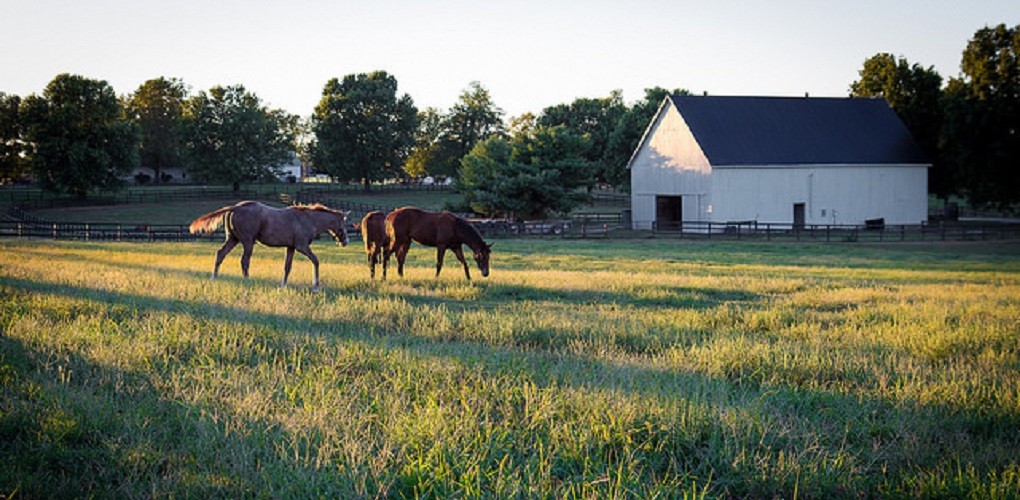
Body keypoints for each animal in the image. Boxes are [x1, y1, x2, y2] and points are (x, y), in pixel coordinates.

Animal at [188, 201, 350, 291]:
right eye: (343, 223)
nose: (345, 241)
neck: (308, 219)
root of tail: (235, 207)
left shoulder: (291, 247)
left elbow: (287, 267)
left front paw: (283, 285)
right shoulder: (302, 246)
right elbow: (316, 261)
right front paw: (316, 285)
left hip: (233, 239)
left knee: (220, 254)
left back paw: (214, 278)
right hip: (248, 241)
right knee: (244, 261)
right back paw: (247, 280)